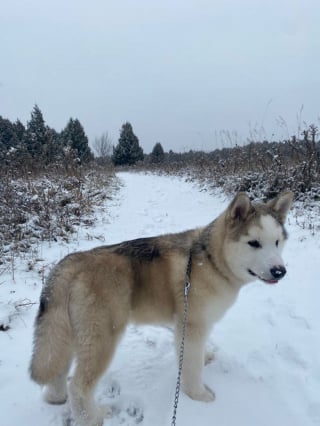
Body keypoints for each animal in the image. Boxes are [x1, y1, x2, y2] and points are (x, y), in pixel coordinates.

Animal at [29, 191, 292, 424]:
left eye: (277, 242)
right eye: (254, 243)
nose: (280, 271)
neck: (212, 260)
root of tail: (71, 262)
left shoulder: (199, 324)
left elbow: (199, 353)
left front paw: (206, 356)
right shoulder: (191, 326)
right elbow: (191, 368)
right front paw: (199, 395)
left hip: (71, 332)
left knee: (58, 366)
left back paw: (55, 397)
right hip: (102, 337)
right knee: (79, 386)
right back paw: (92, 418)